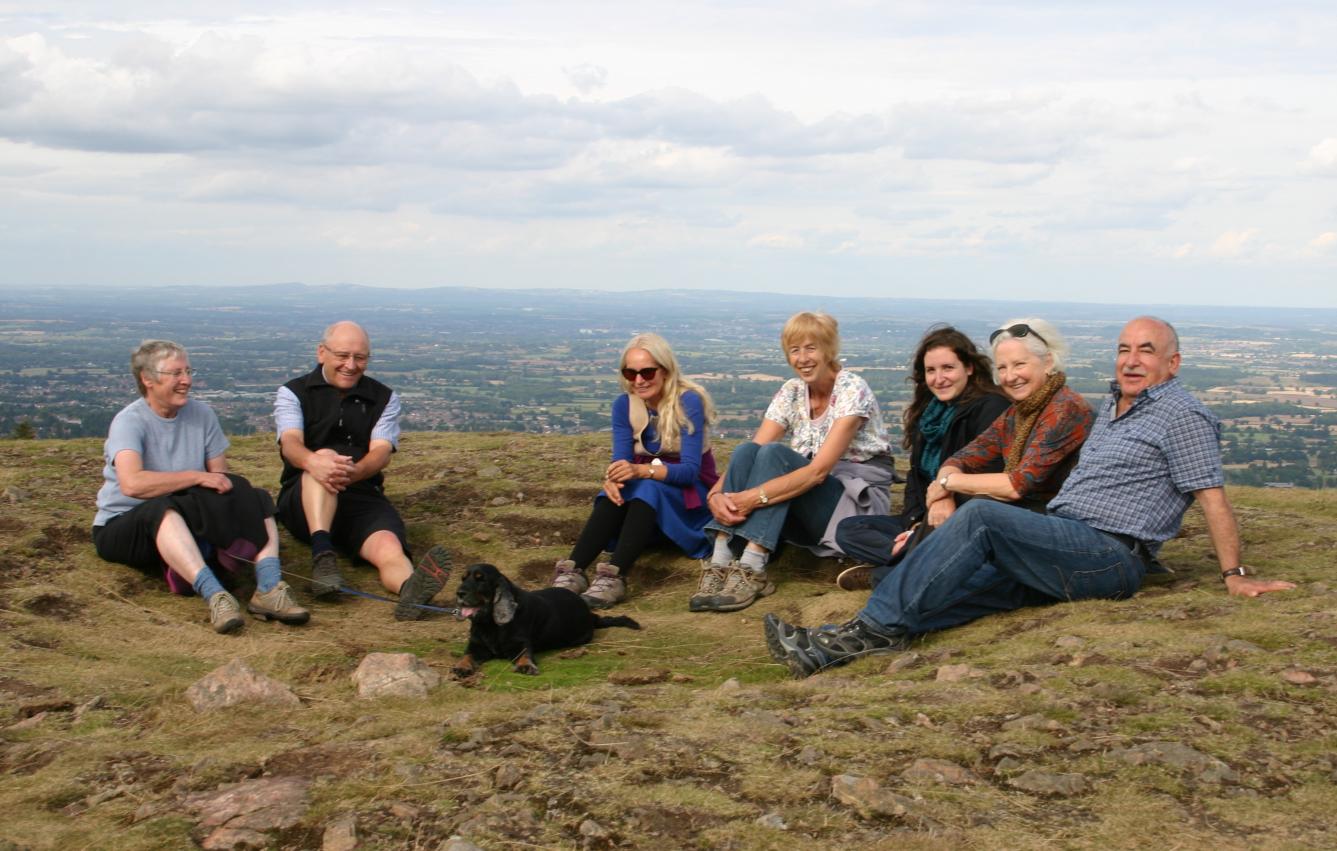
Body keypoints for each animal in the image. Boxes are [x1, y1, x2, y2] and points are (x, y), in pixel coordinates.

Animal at [454, 561, 641, 674]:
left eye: (481, 580)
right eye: (463, 578)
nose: (459, 593)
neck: (490, 624)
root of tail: (591, 615)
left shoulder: (520, 644)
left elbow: (525, 655)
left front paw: (526, 666)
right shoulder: (476, 646)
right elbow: (466, 656)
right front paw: (461, 667)